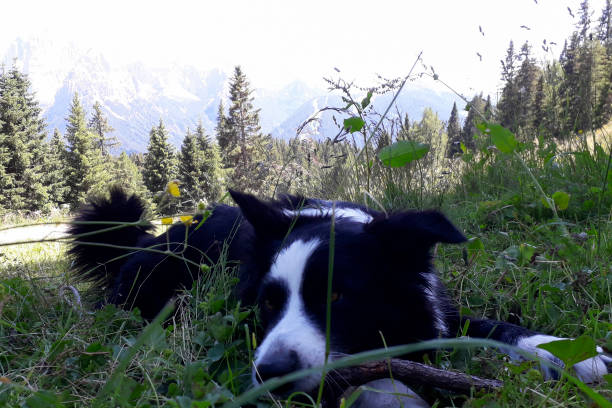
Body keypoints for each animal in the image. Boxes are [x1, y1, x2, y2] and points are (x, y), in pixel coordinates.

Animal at [70, 190, 608, 406]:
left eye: (338, 296)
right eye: (268, 303)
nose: (273, 373)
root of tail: (140, 241)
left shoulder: (437, 306)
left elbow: (498, 328)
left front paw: (577, 356)